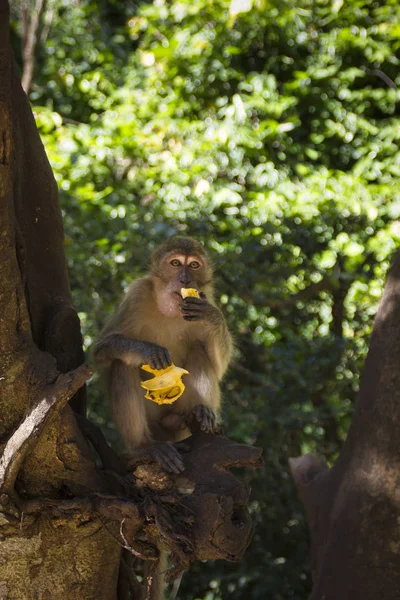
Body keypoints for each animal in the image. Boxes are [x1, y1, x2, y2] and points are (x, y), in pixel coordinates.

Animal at [92, 234, 233, 474]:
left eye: (194, 265)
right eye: (175, 263)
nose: (185, 280)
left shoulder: (206, 297)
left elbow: (219, 366)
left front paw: (211, 315)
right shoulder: (136, 295)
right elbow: (101, 352)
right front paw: (148, 350)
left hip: (179, 415)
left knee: (198, 350)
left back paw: (201, 411)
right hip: (154, 421)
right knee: (122, 363)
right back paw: (144, 447)